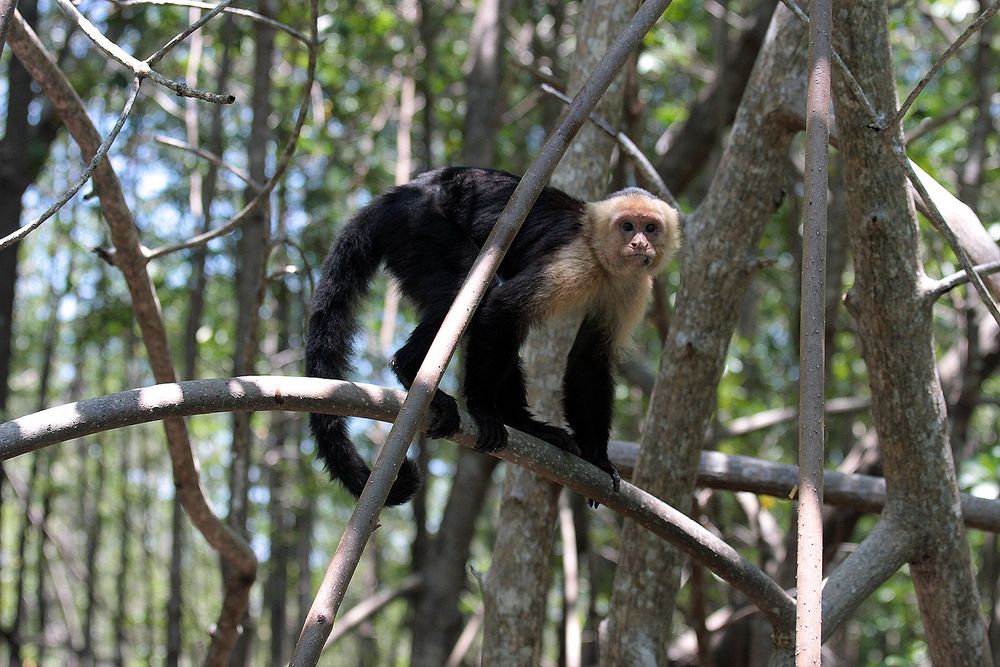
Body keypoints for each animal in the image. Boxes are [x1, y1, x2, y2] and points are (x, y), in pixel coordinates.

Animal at [304, 167, 680, 506]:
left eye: (650, 227)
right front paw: (482, 409)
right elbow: (503, 306)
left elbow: (590, 359)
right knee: (473, 289)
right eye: (627, 226)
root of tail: (401, 193)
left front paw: (596, 457)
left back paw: (524, 424)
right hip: (418, 224)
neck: (603, 261)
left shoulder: (632, 285)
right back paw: (411, 369)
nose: (639, 243)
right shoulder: (576, 260)